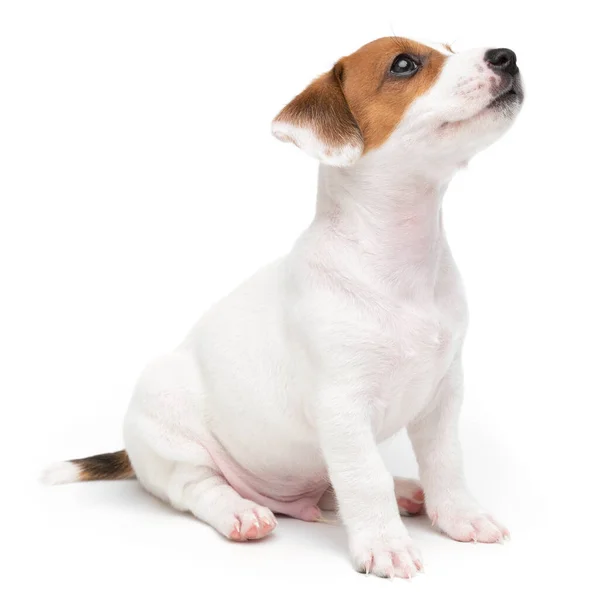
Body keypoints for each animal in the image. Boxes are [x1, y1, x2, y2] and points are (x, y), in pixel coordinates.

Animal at [44, 36, 524, 576]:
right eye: (404, 64)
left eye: (450, 47)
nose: (506, 56)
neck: (401, 267)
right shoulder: (342, 406)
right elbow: (365, 478)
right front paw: (385, 545)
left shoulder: (443, 395)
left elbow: (447, 464)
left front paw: (461, 516)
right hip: (172, 438)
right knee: (197, 488)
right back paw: (242, 513)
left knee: (331, 487)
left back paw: (403, 492)